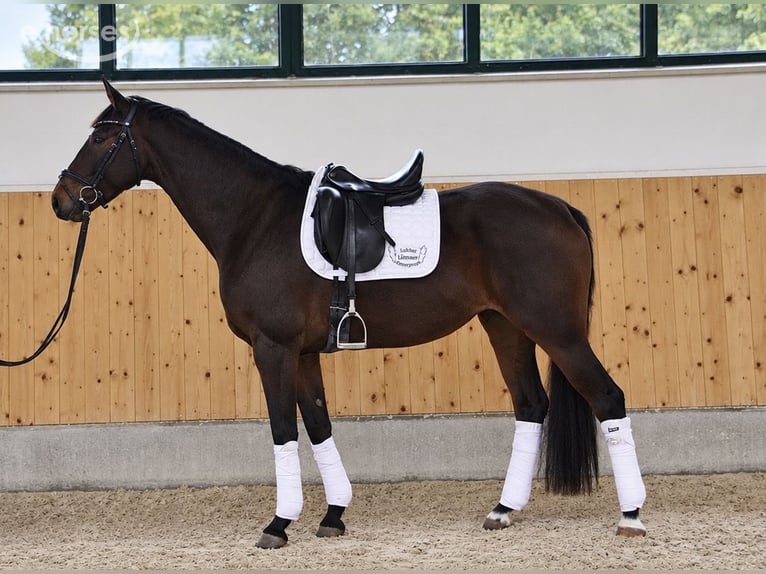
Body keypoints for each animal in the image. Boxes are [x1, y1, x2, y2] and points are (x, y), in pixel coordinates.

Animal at [52, 80, 647, 548]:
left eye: (102, 136)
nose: (62, 200)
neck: (254, 219)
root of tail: (560, 207)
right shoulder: (303, 354)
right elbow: (318, 424)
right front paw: (333, 515)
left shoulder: (273, 349)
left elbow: (282, 430)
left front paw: (278, 524)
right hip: (506, 327)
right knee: (530, 405)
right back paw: (503, 510)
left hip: (557, 332)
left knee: (607, 398)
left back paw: (631, 516)